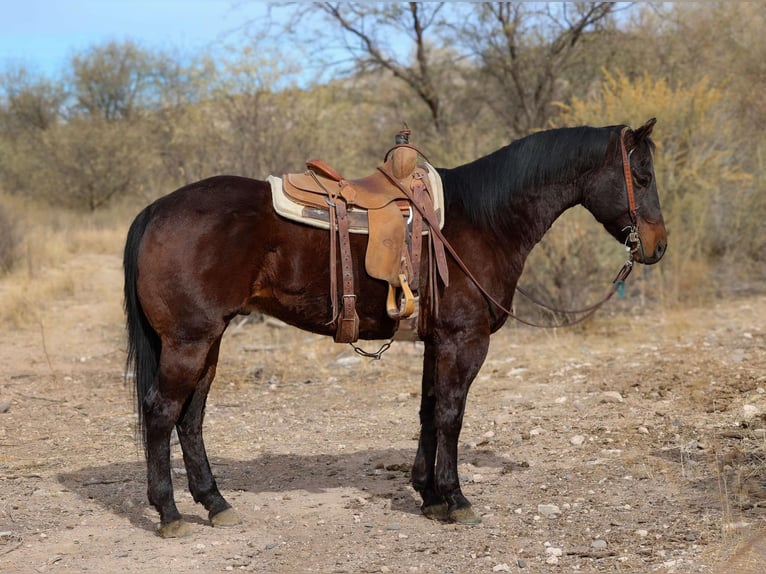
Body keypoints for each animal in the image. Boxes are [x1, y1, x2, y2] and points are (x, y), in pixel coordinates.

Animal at [124, 118, 664, 540]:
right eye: (641, 175)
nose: (657, 245)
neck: (484, 221)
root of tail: (156, 209)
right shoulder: (464, 341)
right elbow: (450, 414)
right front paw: (455, 499)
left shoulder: (436, 342)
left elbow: (428, 411)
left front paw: (428, 496)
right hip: (189, 343)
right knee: (161, 414)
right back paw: (169, 512)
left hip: (209, 342)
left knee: (191, 418)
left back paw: (215, 503)